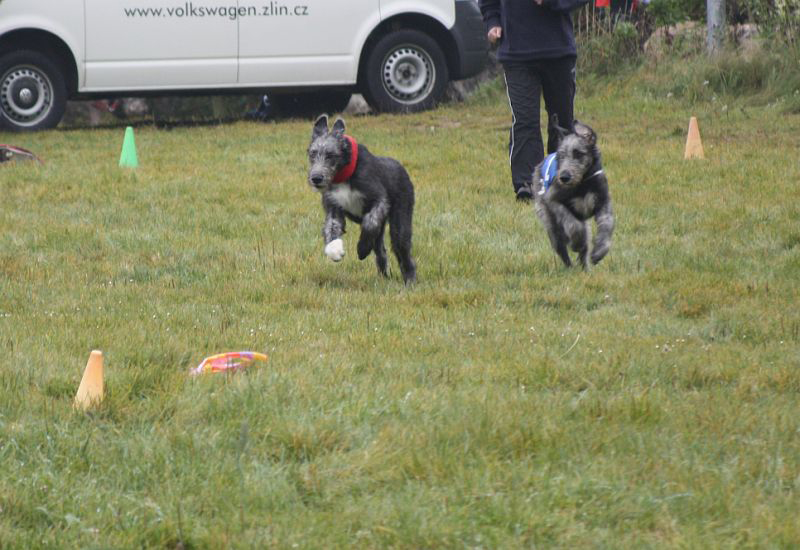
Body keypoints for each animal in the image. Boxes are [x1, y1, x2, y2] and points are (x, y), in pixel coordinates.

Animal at [308, 112, 418, 284]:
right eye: (312, 153)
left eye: (331, 155)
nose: (316, 178)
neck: (344, 176)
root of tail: (401, 168)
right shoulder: (333, 207)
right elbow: (331, 228)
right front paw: (335, 250)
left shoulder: (379, 200)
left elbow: (370, 222)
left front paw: (362, 248)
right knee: (381, 251)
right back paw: (383, 277)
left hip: (401, 215)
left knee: (403, 250)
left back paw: (410, 281)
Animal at [536, 118, 616, 270]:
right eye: (560, 156)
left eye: (578, 153)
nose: (564, 177)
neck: (583, 183)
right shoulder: (553, 199)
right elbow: (573, 224)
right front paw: (577, 242)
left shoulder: (603, 201)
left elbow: (607, 223)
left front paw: (599, 251)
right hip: (550, 222)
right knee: (561, 247)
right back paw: (570, 266)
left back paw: (585, 268)